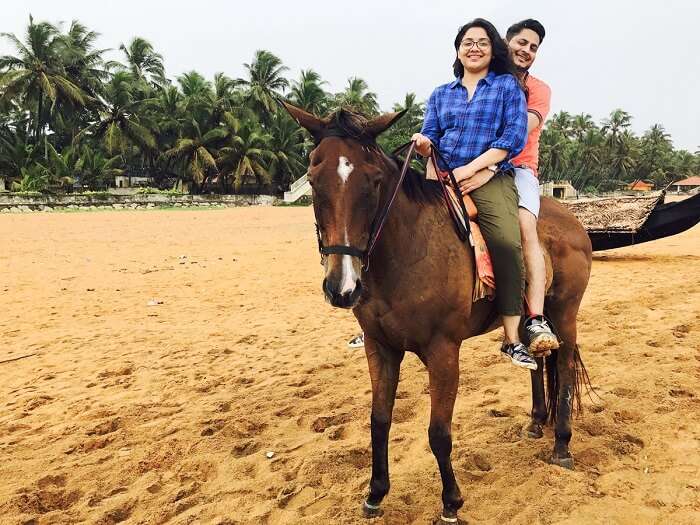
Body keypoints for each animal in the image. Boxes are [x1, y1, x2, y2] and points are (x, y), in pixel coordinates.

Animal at [284, 102, 592, 520]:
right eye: (314, 180)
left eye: (374, 181)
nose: (342, 287)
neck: (408, 250)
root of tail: (572, 220)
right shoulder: (380, 347)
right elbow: (379, 420)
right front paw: (376, 492)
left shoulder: (444, 351)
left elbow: (438, 432)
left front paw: (451, 501)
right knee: (541, 361)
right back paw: (535, 423)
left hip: (565, 314)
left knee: (564, 366)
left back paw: (561, 444)